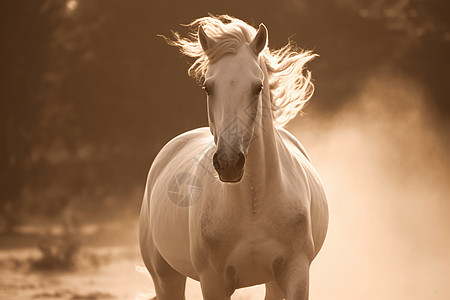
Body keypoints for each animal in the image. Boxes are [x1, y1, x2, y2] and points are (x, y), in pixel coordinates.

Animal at [139, 15, 328, 298]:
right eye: (208, 87)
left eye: (257, 87)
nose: (229, 163)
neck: (253, 206)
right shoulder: (213, 282)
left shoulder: (296, 273)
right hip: (165, 278)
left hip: (272, 281)